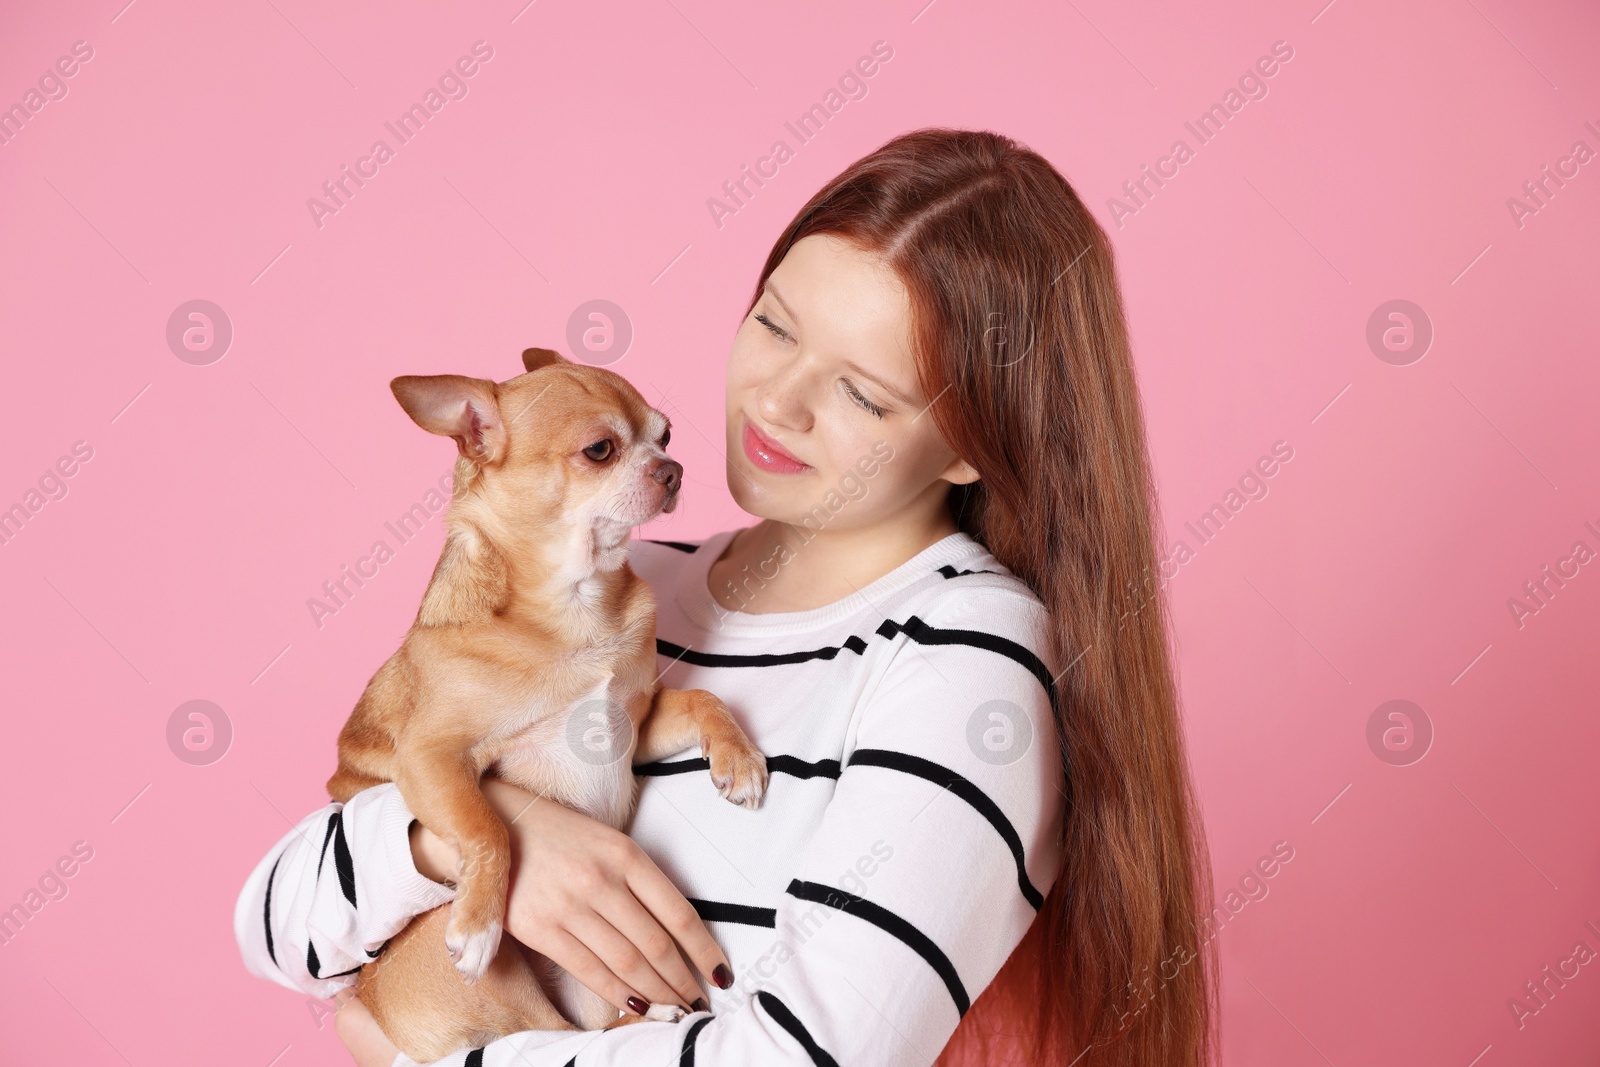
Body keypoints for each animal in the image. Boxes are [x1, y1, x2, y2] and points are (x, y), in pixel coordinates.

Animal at [326, 348, 768, 1062]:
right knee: (549, 1034)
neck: (576, 605)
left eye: (665, 435)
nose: (672, 469)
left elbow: (705, 695)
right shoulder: (429, 758)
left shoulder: (630, 725)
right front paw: (478, 922)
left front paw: (740, 760)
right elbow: (487, 826)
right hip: (483, 974)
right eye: (600, 450)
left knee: (583, 1031)